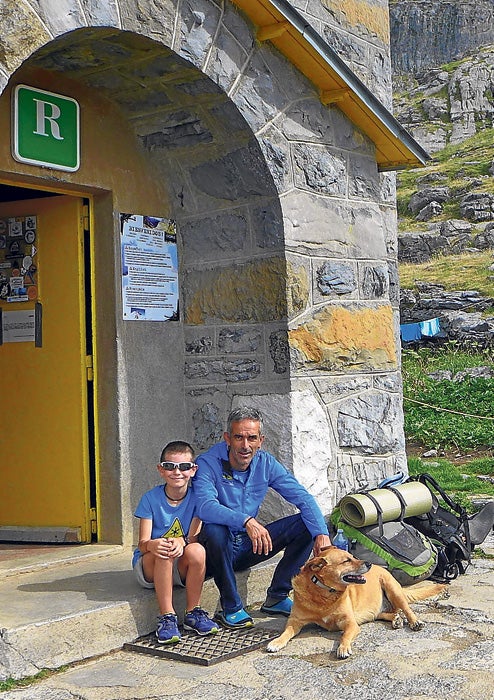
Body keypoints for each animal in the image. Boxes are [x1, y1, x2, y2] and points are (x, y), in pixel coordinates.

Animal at [266, 544, 448, 660]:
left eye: (353, 557)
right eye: (346, 561)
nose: (369, 563)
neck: (324, 594)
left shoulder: (350, 623)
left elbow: (344, 635)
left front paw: (343, 648)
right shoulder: (295, 621)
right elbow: (286, 632)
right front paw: (276, 642)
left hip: (393, 589)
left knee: (406, 609)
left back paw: (414, 622)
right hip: (377, 609)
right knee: (390, 612)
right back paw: (395, 619)